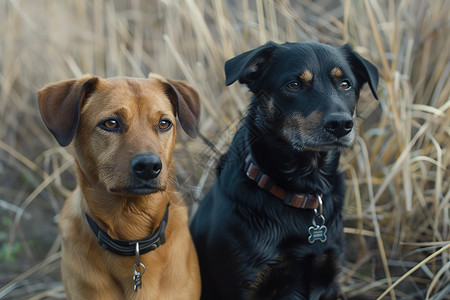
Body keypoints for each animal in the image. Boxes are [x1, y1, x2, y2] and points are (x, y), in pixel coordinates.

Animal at [190, 42, 380, 300]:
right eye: (293, 85)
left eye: (345, 84)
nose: (341, 125)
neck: (303, 189)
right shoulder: (246, 284)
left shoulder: (328, 277)